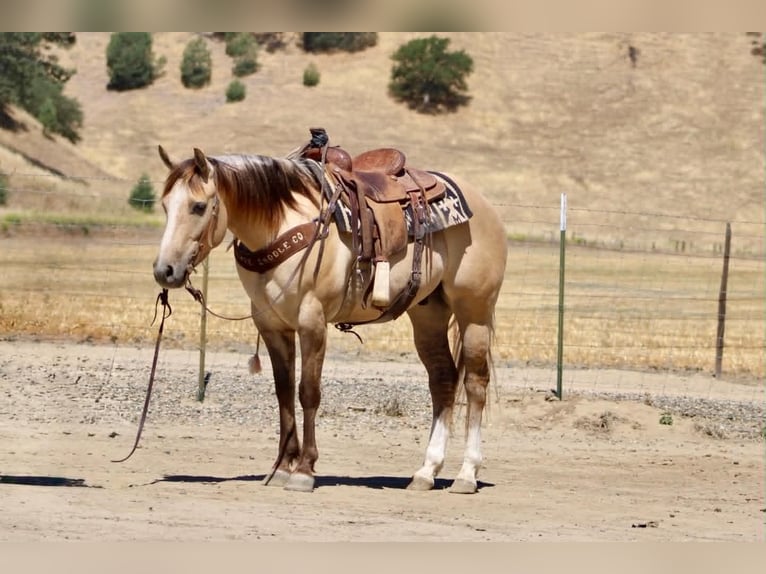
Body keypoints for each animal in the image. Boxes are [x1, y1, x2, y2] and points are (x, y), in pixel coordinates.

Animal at [152, 140, 507, 494]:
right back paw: (426, 471)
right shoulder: (272, 326)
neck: (282, 225)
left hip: (473, 310)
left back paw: (466, 474)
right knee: (443, 379)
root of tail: (486, 208)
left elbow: (308, 391)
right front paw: (281, 466)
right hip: (428, 314)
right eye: (165, 205)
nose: (164, 271)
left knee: (475, 384)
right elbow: (283, 393)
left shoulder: (312, 320)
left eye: (198, 206)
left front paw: (304, 470)